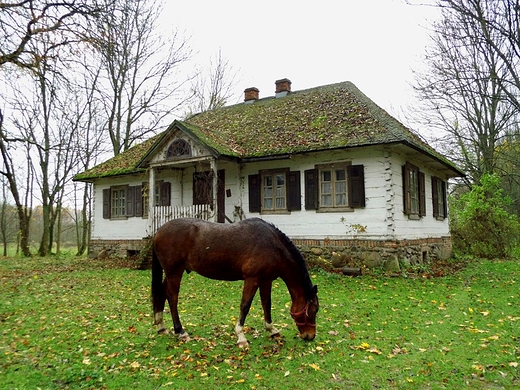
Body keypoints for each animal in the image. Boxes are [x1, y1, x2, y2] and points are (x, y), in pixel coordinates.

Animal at [152, 216, 318, 348]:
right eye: (313, 310)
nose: (310, 336)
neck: (272, 245)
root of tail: (158, 232)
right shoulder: (252, 279)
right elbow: (245, 306)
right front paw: (241, 337)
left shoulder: (266, 281)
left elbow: (266, 304)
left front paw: (272, 330)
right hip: (174, 273)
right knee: (172, 297)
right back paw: (181, 331)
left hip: (171, 273)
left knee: (162, 292)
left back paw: (161, 326)